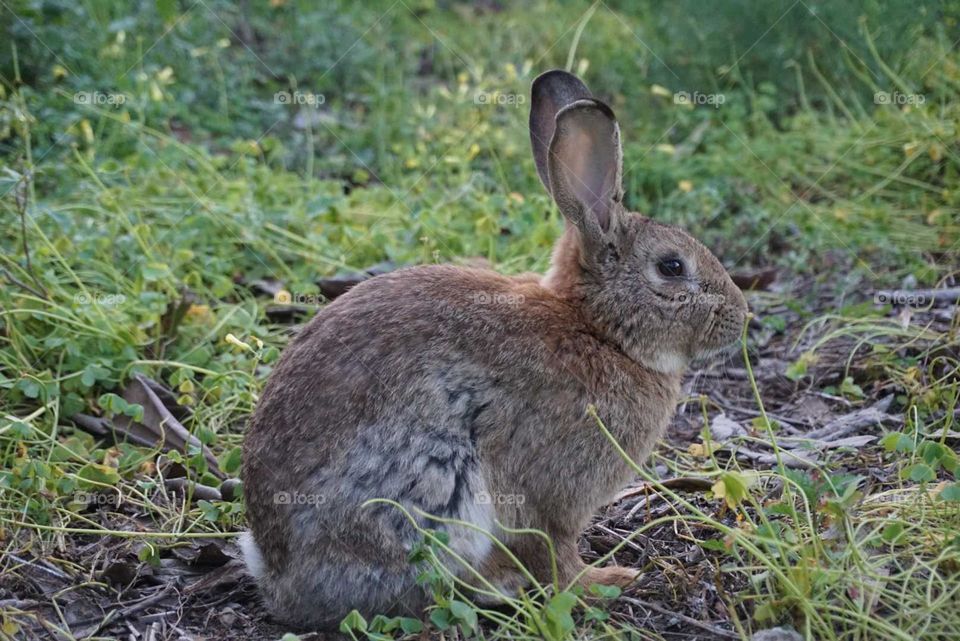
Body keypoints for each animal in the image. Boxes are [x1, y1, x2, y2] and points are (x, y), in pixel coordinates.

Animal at [242, 70, 752, 632]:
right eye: (672, 267)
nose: (741, 315)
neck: (598, 330)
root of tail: (278, 577)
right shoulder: (548, 496)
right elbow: (555, 552)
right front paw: (604, 582)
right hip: (433, 491)